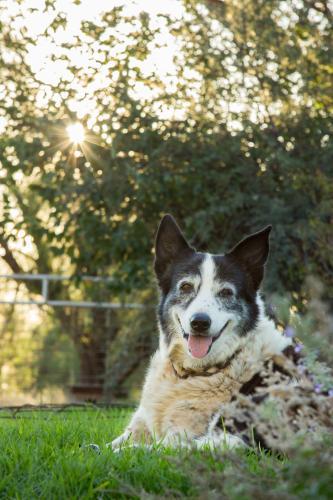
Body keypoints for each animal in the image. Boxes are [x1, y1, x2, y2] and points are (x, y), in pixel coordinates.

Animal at [107, 214, 292, 450]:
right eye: (186, 287)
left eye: (226, 292)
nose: (200, 322)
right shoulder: (138, 426)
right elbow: (106, 444)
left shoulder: (179, 434)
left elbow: (145, 449)